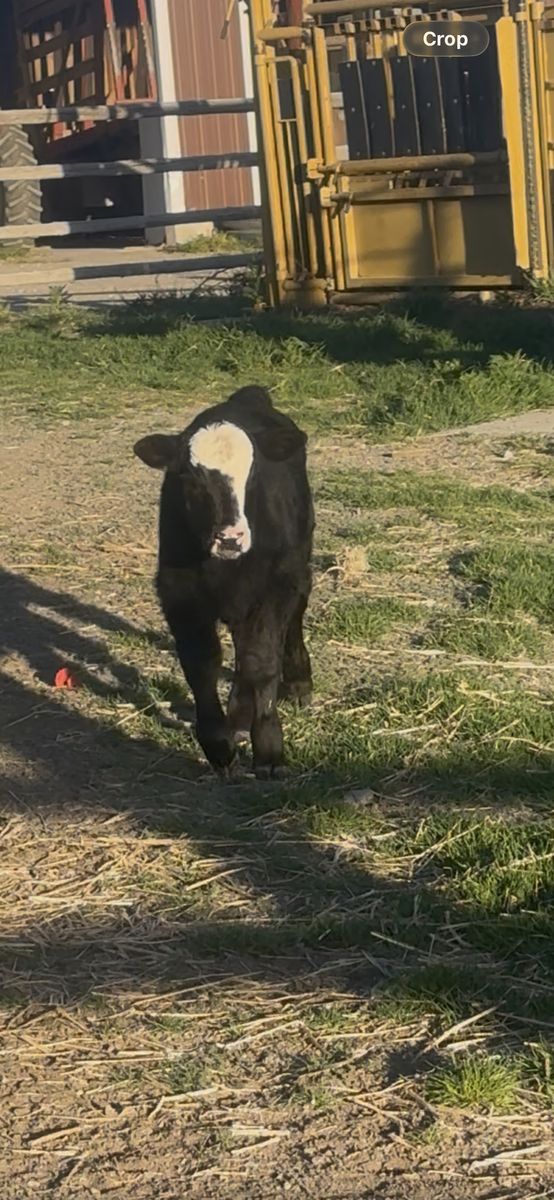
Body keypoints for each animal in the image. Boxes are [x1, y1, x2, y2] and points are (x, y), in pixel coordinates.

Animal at [133, 385, 314, 779]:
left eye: (254, 474)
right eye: (189, 479)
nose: (230, 538)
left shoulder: (273, 586)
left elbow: (262, 660)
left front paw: (269, 750)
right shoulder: (179, 592)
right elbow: (201, 663)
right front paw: (218, 745)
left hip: (299, 559)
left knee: (293, 616)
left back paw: (297, 682)